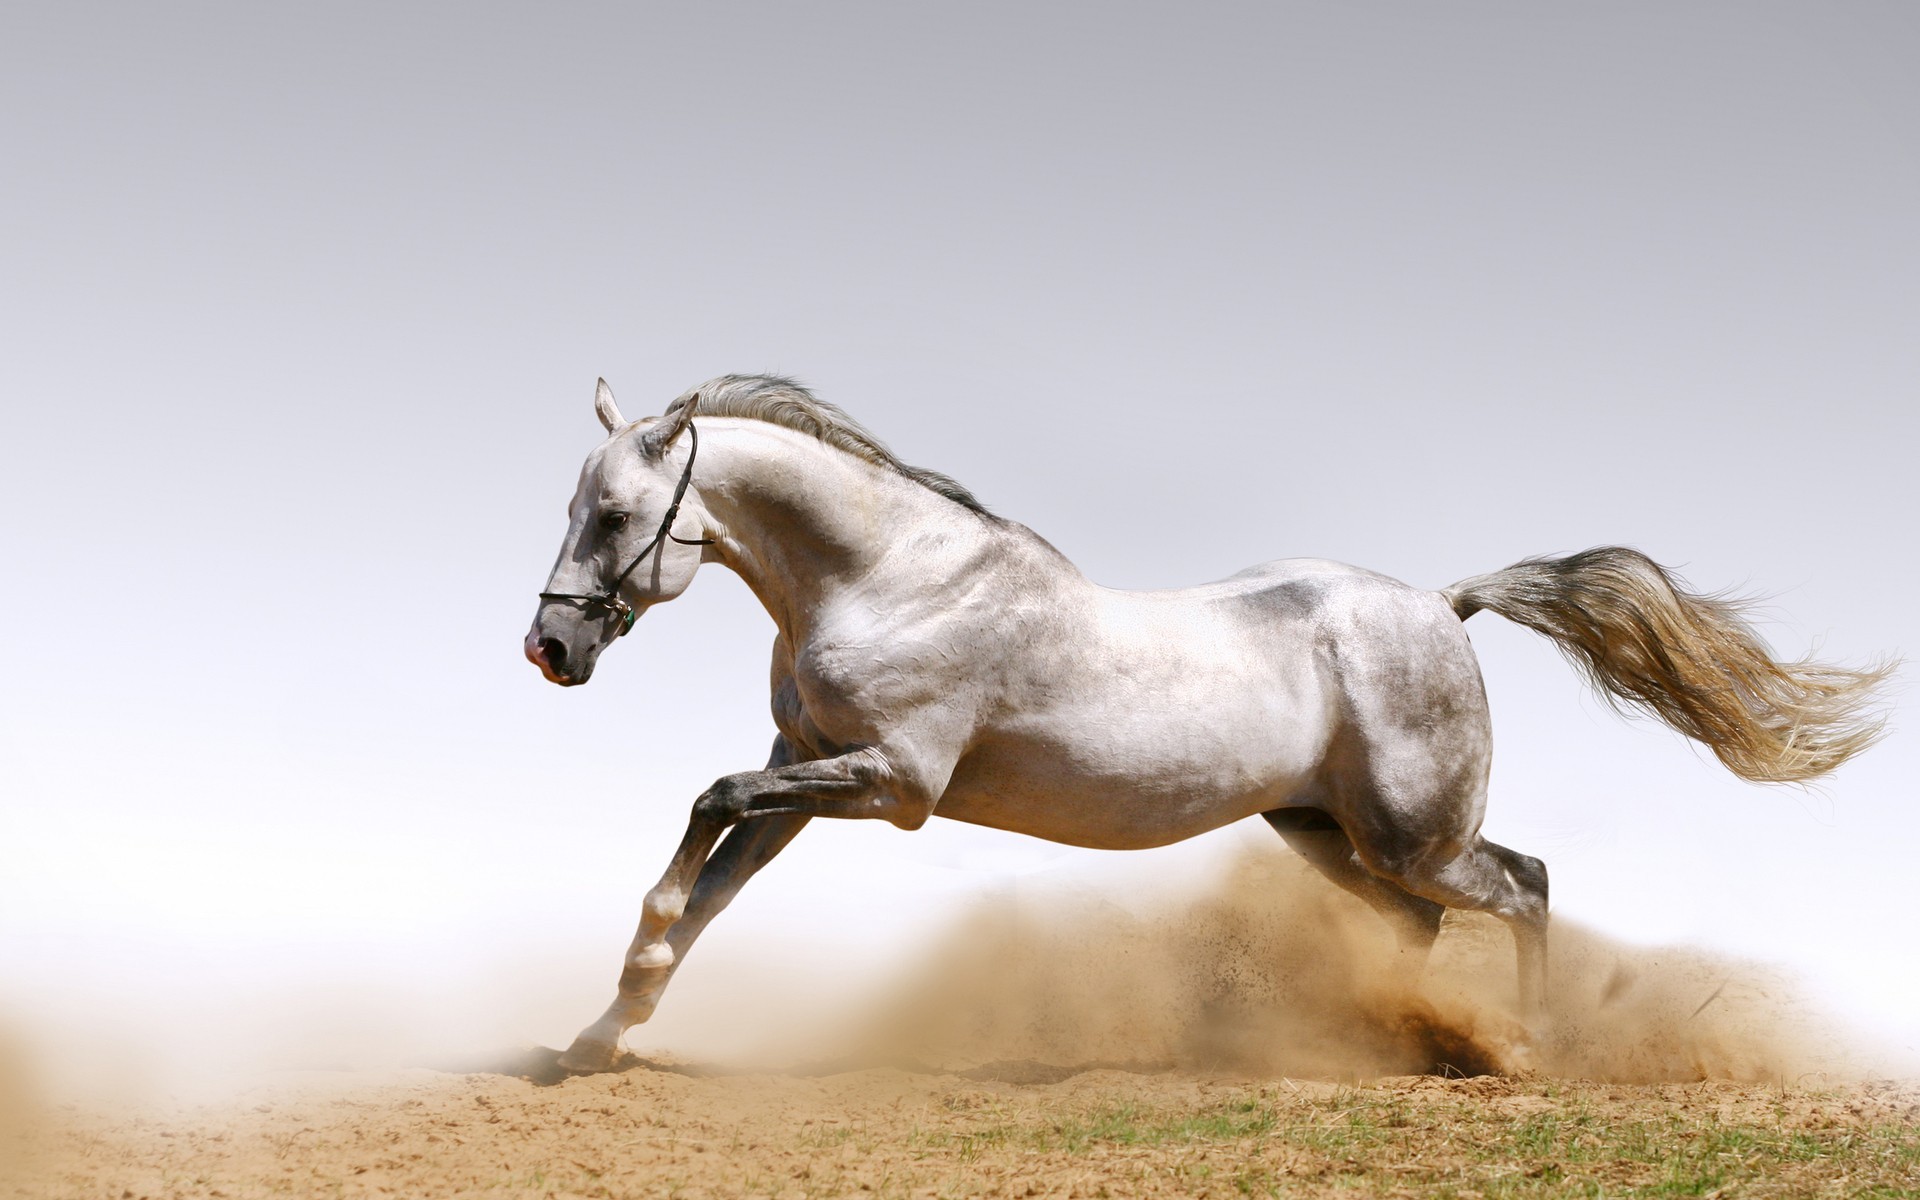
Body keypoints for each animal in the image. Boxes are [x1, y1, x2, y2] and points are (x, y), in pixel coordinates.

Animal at [526, 374, 1891, 1074]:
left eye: (616, 515)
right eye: (578, 506)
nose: (550, 650)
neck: (889, 577)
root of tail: (1444, 605)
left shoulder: (890, 783)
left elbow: (703, 812)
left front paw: (614, 1003)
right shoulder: (807, 765)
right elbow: (711, 887)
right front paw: (600, 1035)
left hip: (1415, 833)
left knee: (1526, 885)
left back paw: (1526, 1049)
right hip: (1322, 831)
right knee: (1424, 923)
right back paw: (1393, 1042)